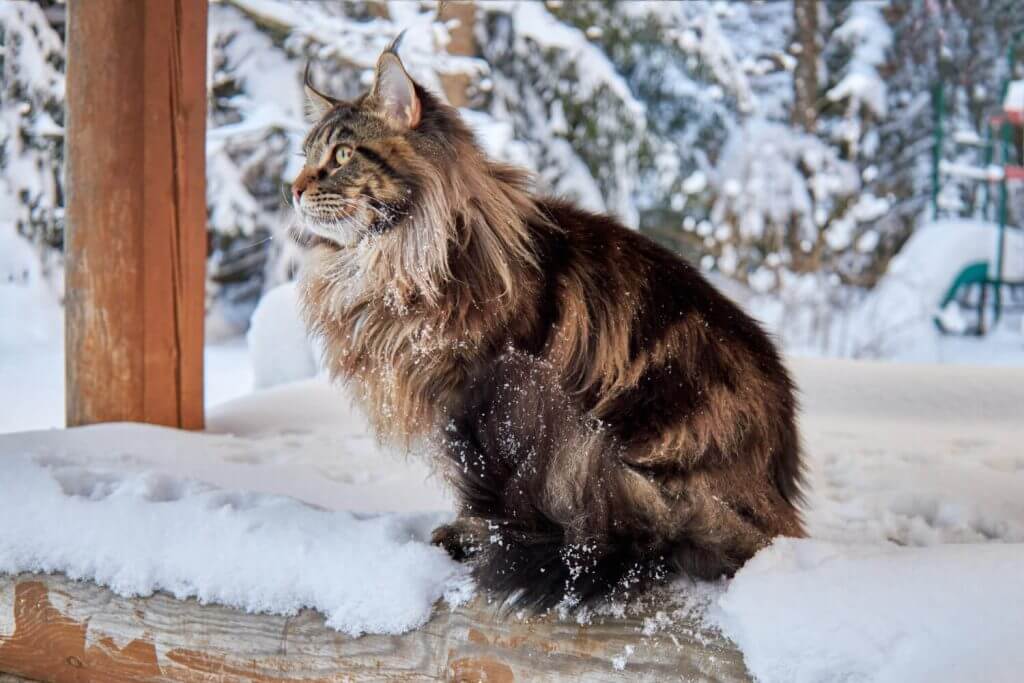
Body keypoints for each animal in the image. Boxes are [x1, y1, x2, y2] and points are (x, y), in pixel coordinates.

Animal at [292, 42, 802, 610]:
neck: (399, 261)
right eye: (306, 157)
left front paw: (469, 537)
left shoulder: (477, 399)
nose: (293, 189)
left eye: (341, 156)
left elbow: (480, 493)